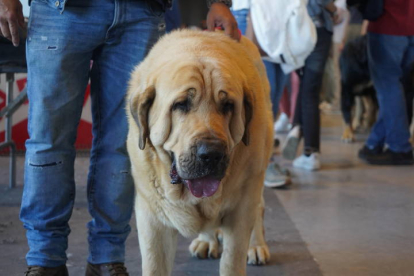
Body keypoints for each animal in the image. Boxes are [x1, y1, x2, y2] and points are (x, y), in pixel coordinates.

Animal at [126, 29, 274, 274]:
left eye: (228, 105)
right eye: (181, 104)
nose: (212, 153)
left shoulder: (242, 209)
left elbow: (232, 261)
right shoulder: (152, 220)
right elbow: (155, 265)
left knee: (260, 208)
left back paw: (257, 246)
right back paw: (207, 240)